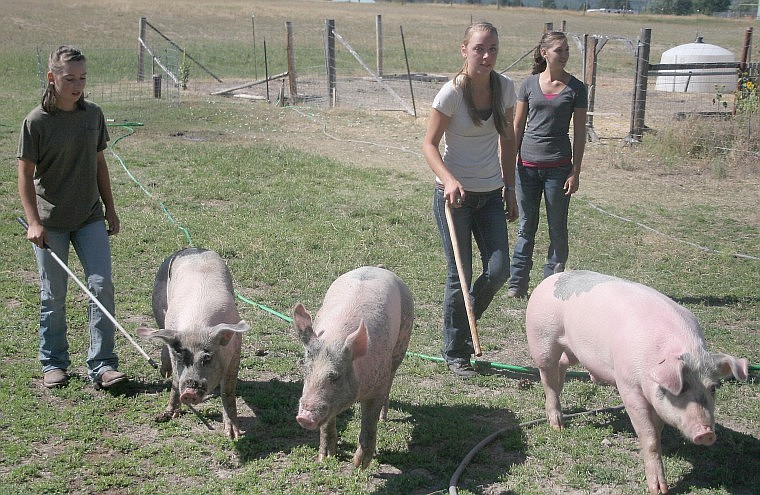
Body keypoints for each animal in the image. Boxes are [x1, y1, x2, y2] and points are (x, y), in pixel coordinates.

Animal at [292, 266, 412, 466]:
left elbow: (369, 424)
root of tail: (378, 267)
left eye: (335, 376)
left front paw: (359, 466)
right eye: (306, 371)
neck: (336, 338)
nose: (304, 417)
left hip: (403, 337)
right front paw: (325, 458)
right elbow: (327, 423)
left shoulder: (376, 386)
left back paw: (384, 418)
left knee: (391, 378)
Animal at [524, 272, 744, 495]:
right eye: (680, 388)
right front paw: (659, 490)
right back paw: (558, 426)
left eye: (713, 388)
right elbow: (650, 438)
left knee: (561, 366)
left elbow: (657, 431)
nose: (706, 433)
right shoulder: (629, 387)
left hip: (573, 351)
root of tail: (554, 276)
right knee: (548, 378)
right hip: (542, 338)